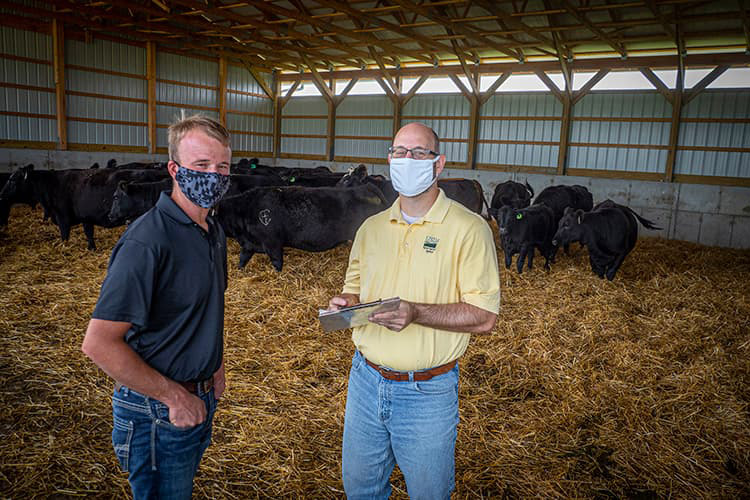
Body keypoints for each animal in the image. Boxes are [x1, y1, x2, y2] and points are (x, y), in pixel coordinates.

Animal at [216, 184, 388, 272]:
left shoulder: (272, 243)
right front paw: (239, 270)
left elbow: (277, 262)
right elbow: (242, 259)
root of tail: (364, 188)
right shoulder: (248, 244)